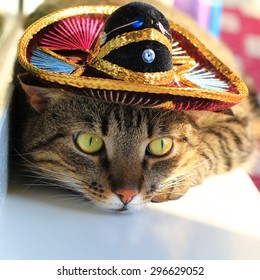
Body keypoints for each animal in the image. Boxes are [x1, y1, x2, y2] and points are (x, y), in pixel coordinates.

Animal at [9, 0, 256, 210]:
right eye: (89, 142)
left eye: (161, 145)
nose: (126, 194)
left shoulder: (242, 126)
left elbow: (210, 147)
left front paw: (176, 180)